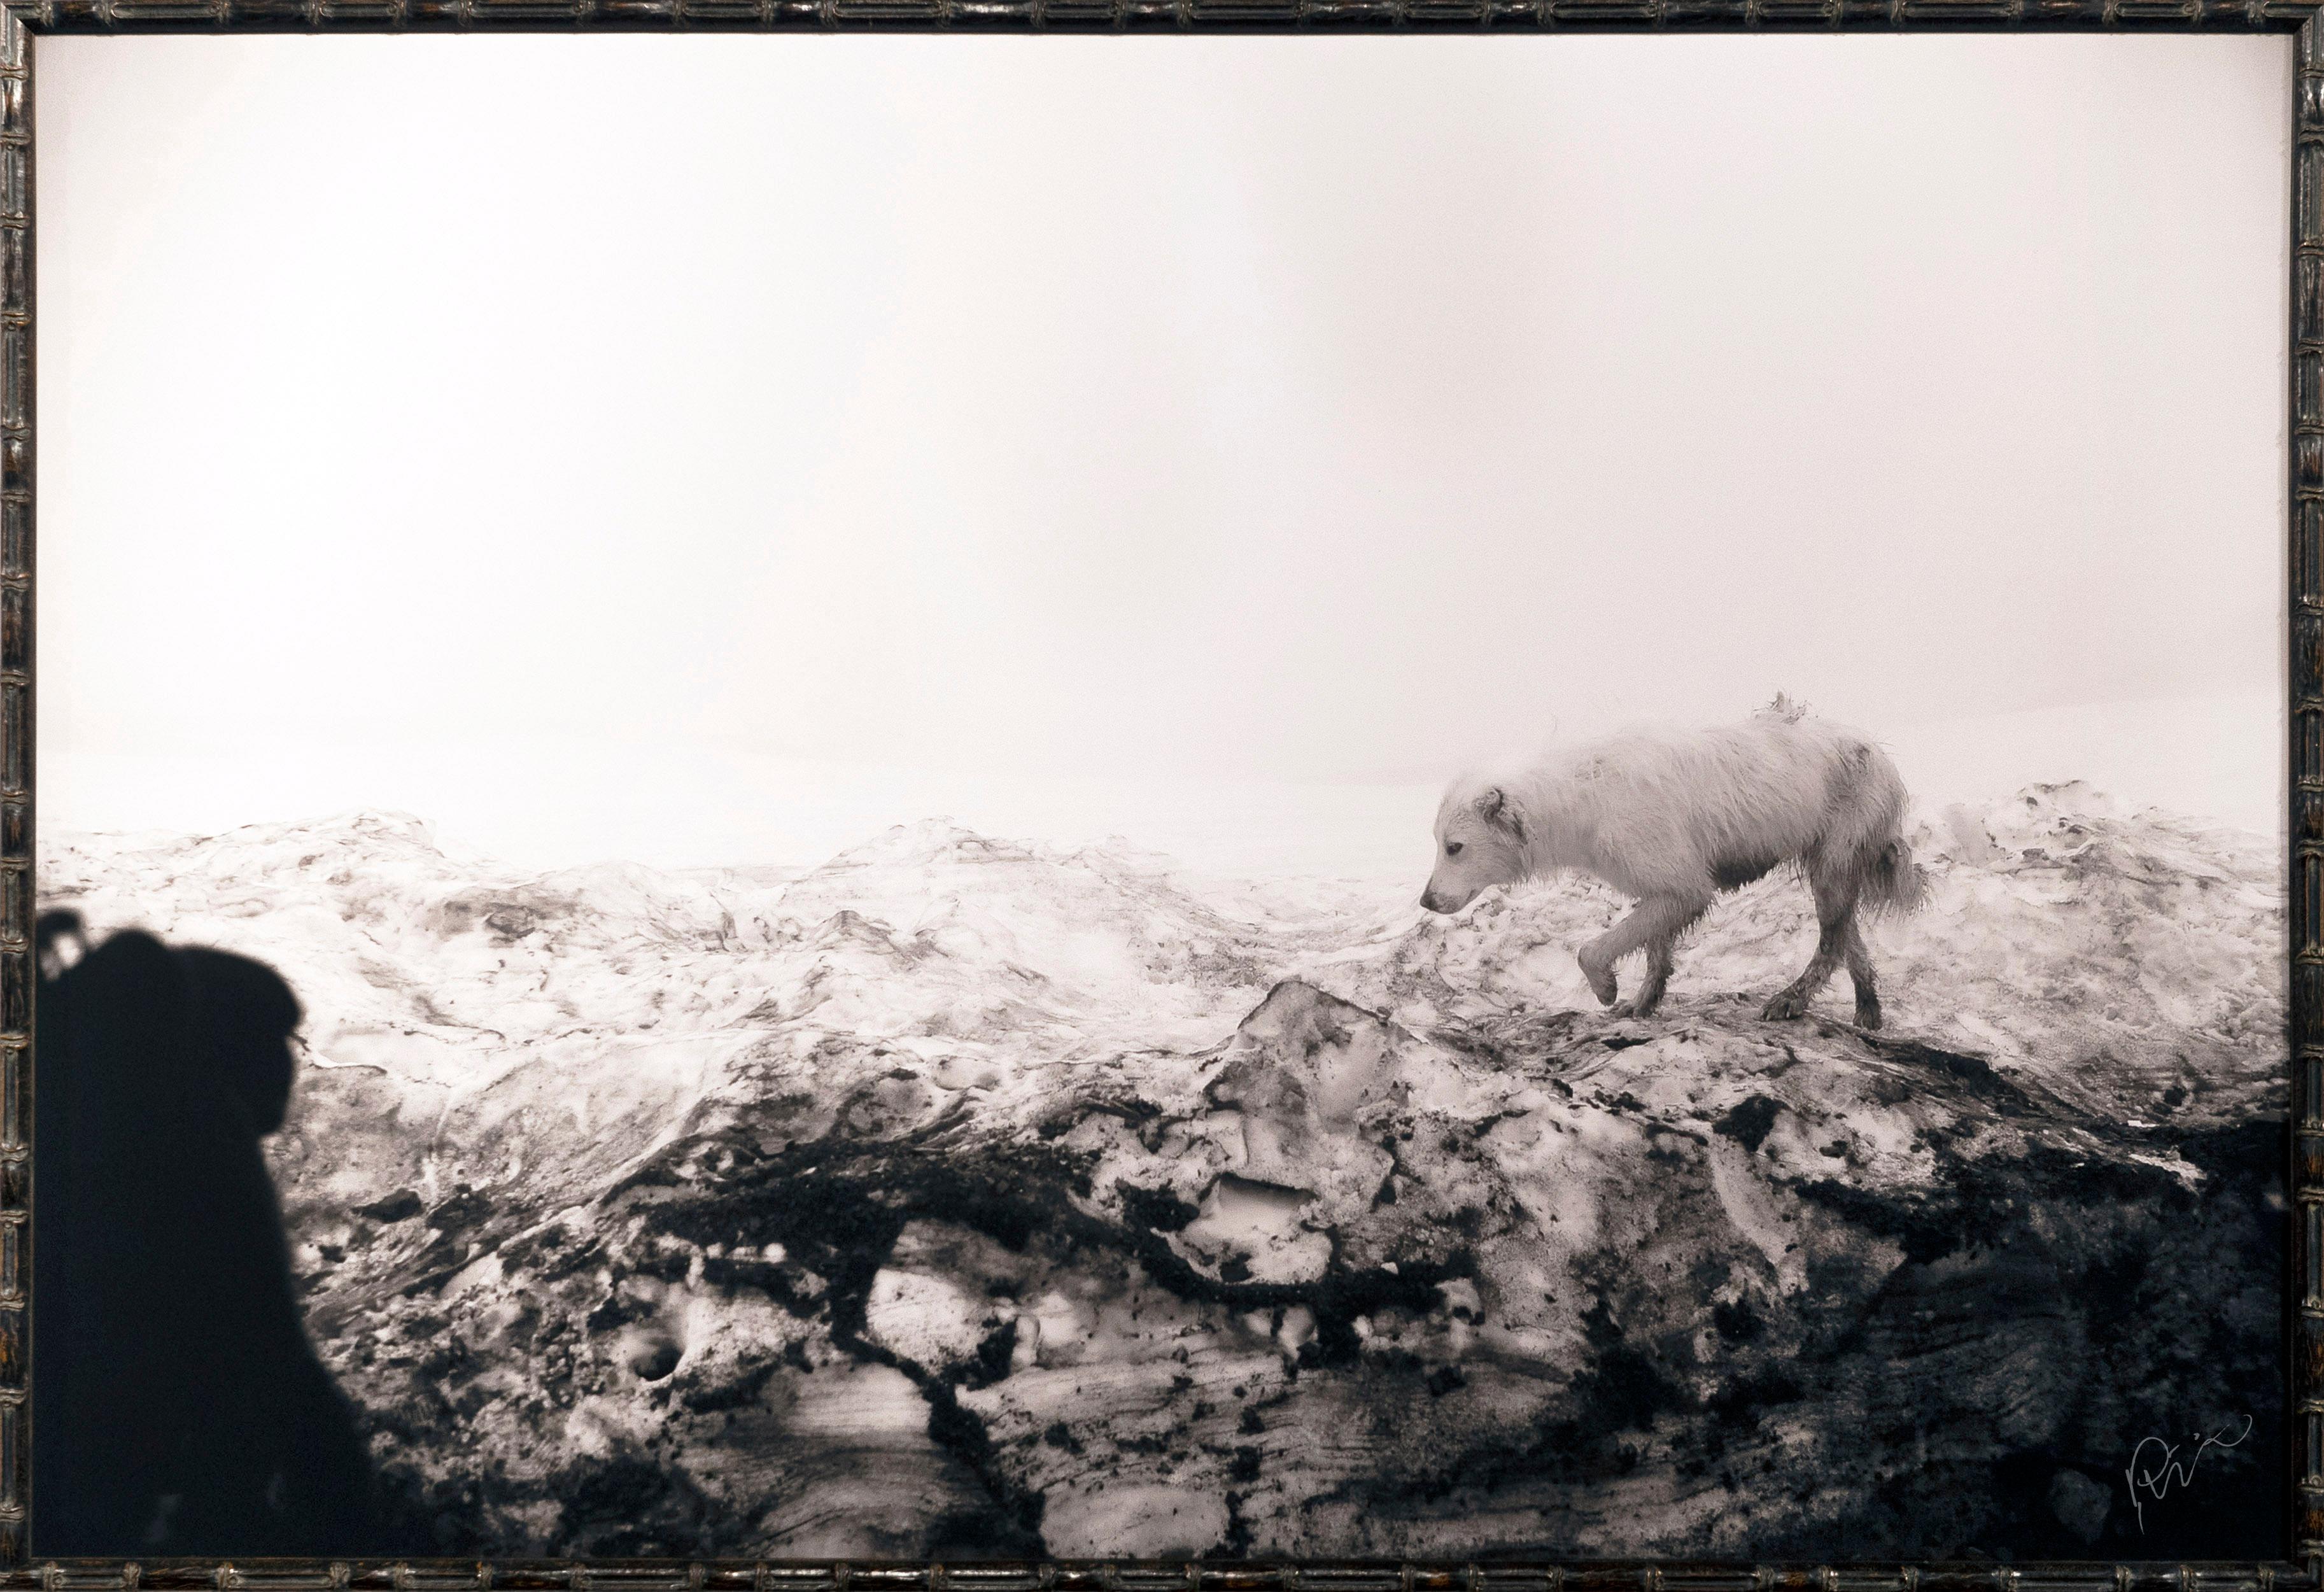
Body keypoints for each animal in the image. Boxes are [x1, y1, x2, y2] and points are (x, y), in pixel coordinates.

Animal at [1412, 711, 1924, 1032]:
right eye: (1436, 841)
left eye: (1454, 847)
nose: (1428, 900)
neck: (1582, 798)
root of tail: (1880, 753)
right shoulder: (1647, 863)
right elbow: (1660, 918)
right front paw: (1642, 1000)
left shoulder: (1648, 837)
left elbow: (1677, 900)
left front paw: (1606, 989)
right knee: (1843, 920)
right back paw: (1867, 1008)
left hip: (1847, 816)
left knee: (1832, 921)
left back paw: (1788, 999)